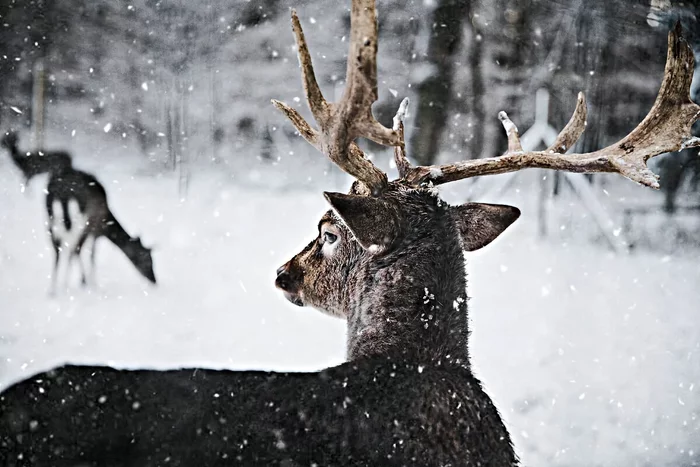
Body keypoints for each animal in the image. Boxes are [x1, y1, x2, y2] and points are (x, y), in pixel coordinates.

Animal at [45, 165, 157, 295]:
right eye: (148, 259)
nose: (155, 280)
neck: (106, 225)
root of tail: (62, 193)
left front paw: (83, 282)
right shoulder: (94, 230)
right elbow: (90, 255)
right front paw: (89, 283)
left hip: (50, 220)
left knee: (57, 249)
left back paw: (53, 290)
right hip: (80, 220)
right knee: (71, 246)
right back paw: (65, 286)